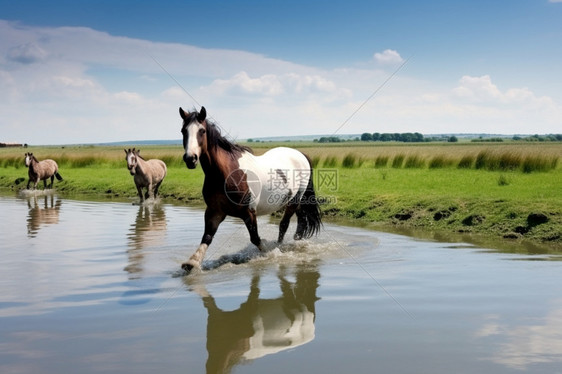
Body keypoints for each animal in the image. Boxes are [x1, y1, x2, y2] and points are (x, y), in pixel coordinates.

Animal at [177, 106, 322, 274]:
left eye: (202, 131)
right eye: (183, 131)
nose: (190, 159)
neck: (226, 174)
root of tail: (301, 155)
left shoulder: (249, 213)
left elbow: (255, 238)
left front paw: (269, 253)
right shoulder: (215, 211)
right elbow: (207, 237)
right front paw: (192, 263)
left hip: (294, 200)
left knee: (284, 225)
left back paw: (280, 246)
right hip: (296, 202)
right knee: (301, 221)